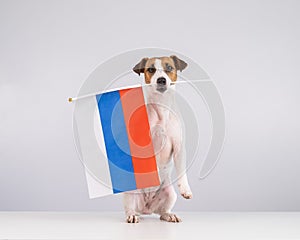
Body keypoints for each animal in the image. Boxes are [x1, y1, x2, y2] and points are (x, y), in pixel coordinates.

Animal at [122, 54, 191, 223]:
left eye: (169, 68)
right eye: (151, 69)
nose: (161, 80)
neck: (161, 107)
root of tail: (146, 208)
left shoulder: (179, 148)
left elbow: (182, 171)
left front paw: (186, 189)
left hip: (169, 194)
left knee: (162, 211)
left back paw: (169, 215)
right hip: (130, 194)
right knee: (129, 208)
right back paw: (132, 215)